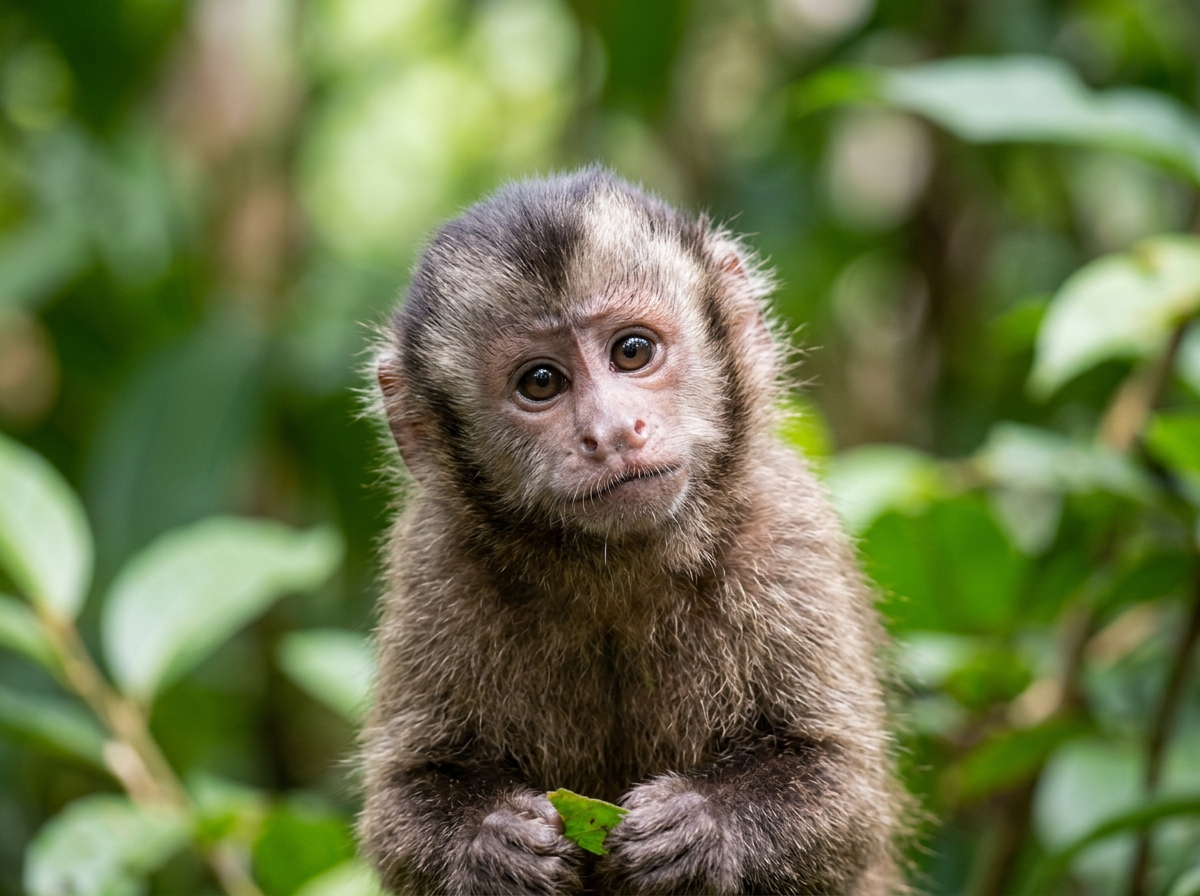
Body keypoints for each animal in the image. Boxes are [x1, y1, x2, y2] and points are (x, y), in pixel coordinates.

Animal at [361, 168, 904, 895]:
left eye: (633, 351)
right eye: (541, 382)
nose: (613, 431)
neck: (616, 572)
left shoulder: (786, 531)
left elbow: (845, 789)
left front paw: (699, 830)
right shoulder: (433, 566)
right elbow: (400, 798)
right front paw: (494, 848)